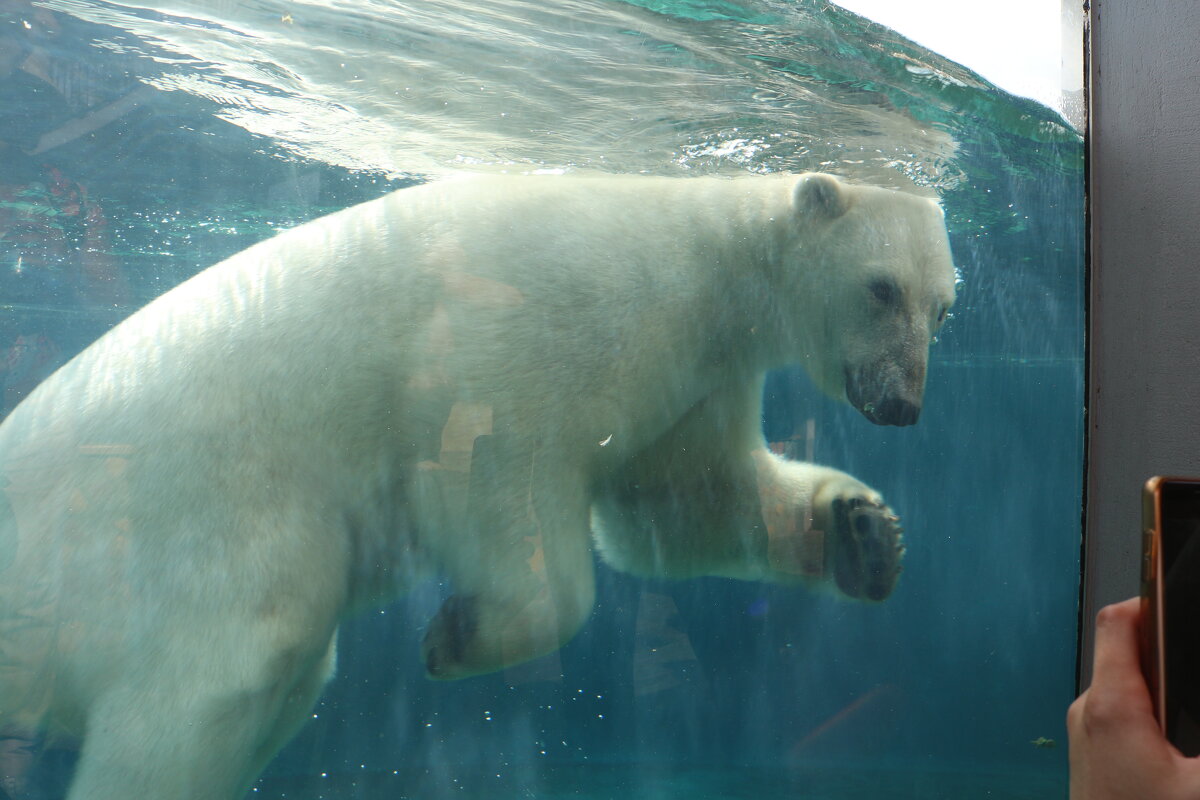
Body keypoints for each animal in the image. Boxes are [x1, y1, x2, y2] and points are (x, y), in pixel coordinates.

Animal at [0, 172, 955, 796]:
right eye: (881, 288)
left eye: (943, 305)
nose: (903, 405)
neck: (704, 260)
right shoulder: (546, 315)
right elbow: (501, 465)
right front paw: (460, 632)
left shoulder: (700, 375)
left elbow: (684, 503)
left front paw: (865, 533)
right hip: (174, 530)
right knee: (219, 678)